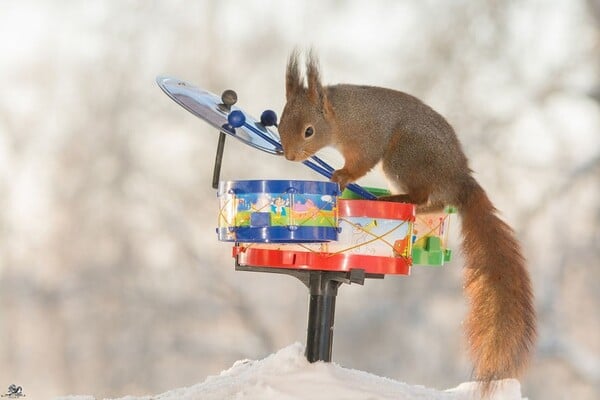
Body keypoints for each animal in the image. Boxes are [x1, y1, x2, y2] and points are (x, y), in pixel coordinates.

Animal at [278, 50, 536, 396]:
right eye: (279, 122)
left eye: (309, 131)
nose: (289, 155)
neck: (341, 116)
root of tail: (459, 181)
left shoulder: (369, 140)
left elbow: (361, 163)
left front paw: (341, 176)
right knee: (431, 201)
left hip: (403, 155)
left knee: (421, 195)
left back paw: (397, 200)